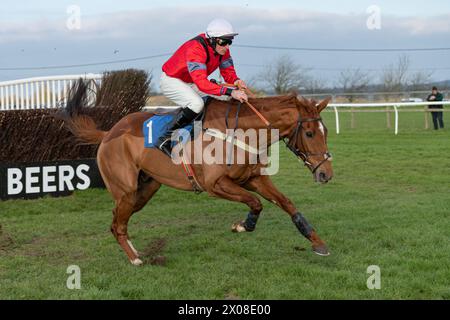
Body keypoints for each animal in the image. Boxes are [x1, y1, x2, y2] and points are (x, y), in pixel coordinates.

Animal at [67, 83, 334, 264]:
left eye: (326, 130)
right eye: (309, 133)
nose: (326, 174)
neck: (242, 131)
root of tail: (108, 133)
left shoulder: (254, 178)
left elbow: (287, 204)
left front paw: (318, 242)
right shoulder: (215, 184)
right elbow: (255, 202)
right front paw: (242, 225)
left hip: (145, 190)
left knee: (118, 220)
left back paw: (135, 252)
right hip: (126, 190)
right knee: (118, 224)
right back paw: (135, 259)